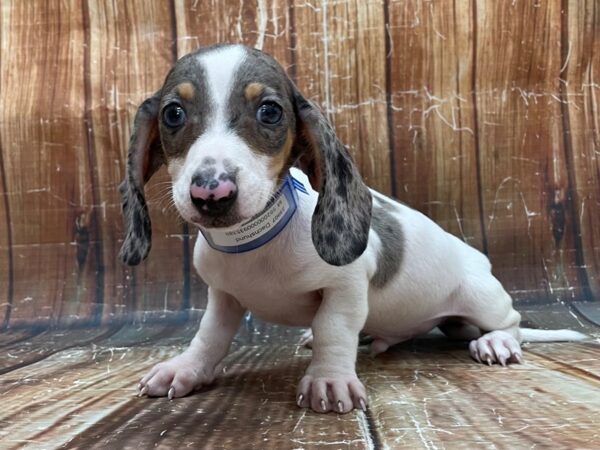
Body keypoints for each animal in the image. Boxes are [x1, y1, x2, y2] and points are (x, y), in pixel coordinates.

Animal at [118, 44, 584, 414]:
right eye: (173, 113)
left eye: (269, 111)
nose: (212, 193)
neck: (256, 243)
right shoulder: (224, 297)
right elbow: (210, 336)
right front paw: (187, 369)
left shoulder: (345, 288)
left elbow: (333, 329)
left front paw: (328, 379)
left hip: (480, 297)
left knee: (511, 322)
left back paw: (497, 342)